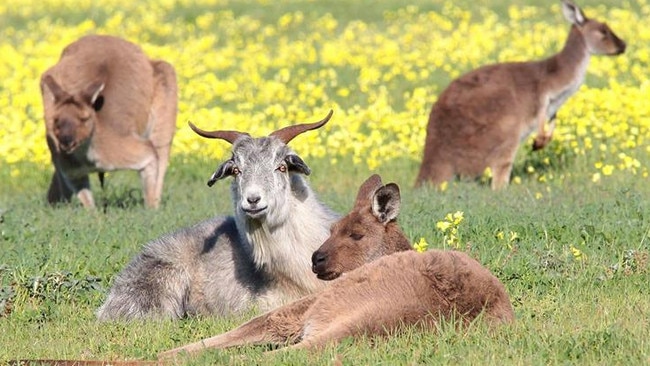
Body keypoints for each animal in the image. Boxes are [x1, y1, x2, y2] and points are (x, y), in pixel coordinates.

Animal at [41, 34, 177, 209]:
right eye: (56, 120)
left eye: (84, 119)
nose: (66, 142)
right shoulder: (70, 169)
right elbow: (84, 196)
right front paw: (92, 214)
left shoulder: (137, 151)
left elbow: (151, 162)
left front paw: (151, 210)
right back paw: (55, 205)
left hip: (165, 85)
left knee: (161, 149)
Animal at [416, 0, 624, 189]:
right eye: (603, 31)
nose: (624, 45)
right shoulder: (541, 92)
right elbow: (540, 111)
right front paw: (539, 141)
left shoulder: (553, 104)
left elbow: (552, 119)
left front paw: (542, 141)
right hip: (503, 127)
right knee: (500, 170)